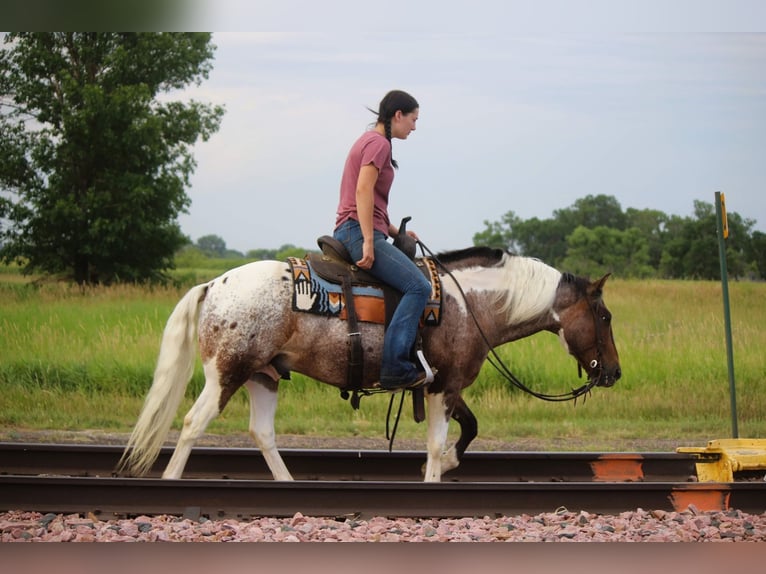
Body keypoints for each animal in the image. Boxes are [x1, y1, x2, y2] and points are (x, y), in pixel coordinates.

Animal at [120, 245, 624, 484]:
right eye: (604, 316)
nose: (614, 372)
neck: (470, 304)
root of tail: (214, 283)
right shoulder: (443, 387)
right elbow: (438, 443)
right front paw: (438, 471)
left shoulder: (444, 384)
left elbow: (469, 429)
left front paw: (450, 463)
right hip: (228, 372)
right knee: (192, 422)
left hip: (265, 375)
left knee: (262, 433)